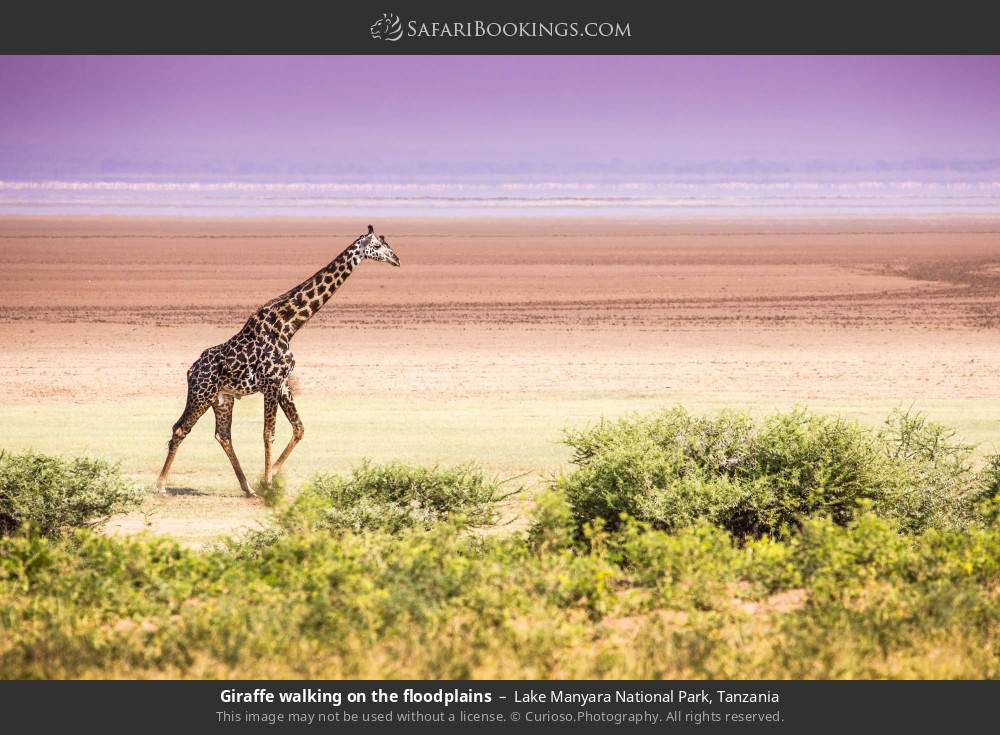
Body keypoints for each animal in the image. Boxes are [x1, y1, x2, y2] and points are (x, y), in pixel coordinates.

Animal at [155, 225, 400, 497]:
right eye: (377, 246)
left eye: (385, 243)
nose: (396, 259)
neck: (289, 325)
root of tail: (191, 370)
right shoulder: (271, 383)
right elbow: (268, 433)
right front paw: (269, 483)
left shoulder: (283, 383)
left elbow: (299, 428)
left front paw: (267, 477)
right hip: (202, 393)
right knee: (180, 428)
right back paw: (161, 485)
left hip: (223, 399)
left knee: (223, 435)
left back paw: (247, 487)